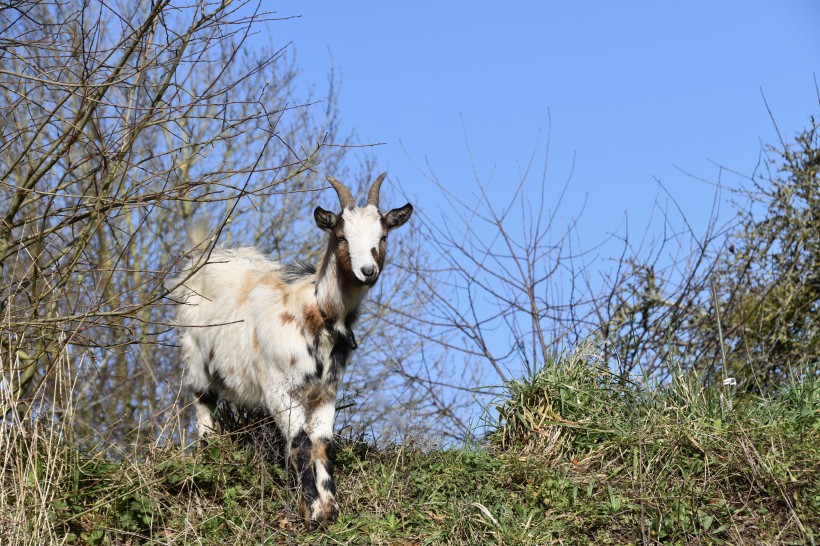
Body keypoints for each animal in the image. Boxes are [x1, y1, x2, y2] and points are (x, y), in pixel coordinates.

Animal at [174, 172, 416, 524]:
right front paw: (312, 512)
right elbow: (300, 444)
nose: (367, 272)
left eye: (383, 236)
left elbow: (323, 443)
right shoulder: (279, 391)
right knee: (202, 403)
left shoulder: (326, 392)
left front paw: (330, 508)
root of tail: (203, 255)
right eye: (341, 237)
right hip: (195, 358)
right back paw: (208, 456)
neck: (313, 313)